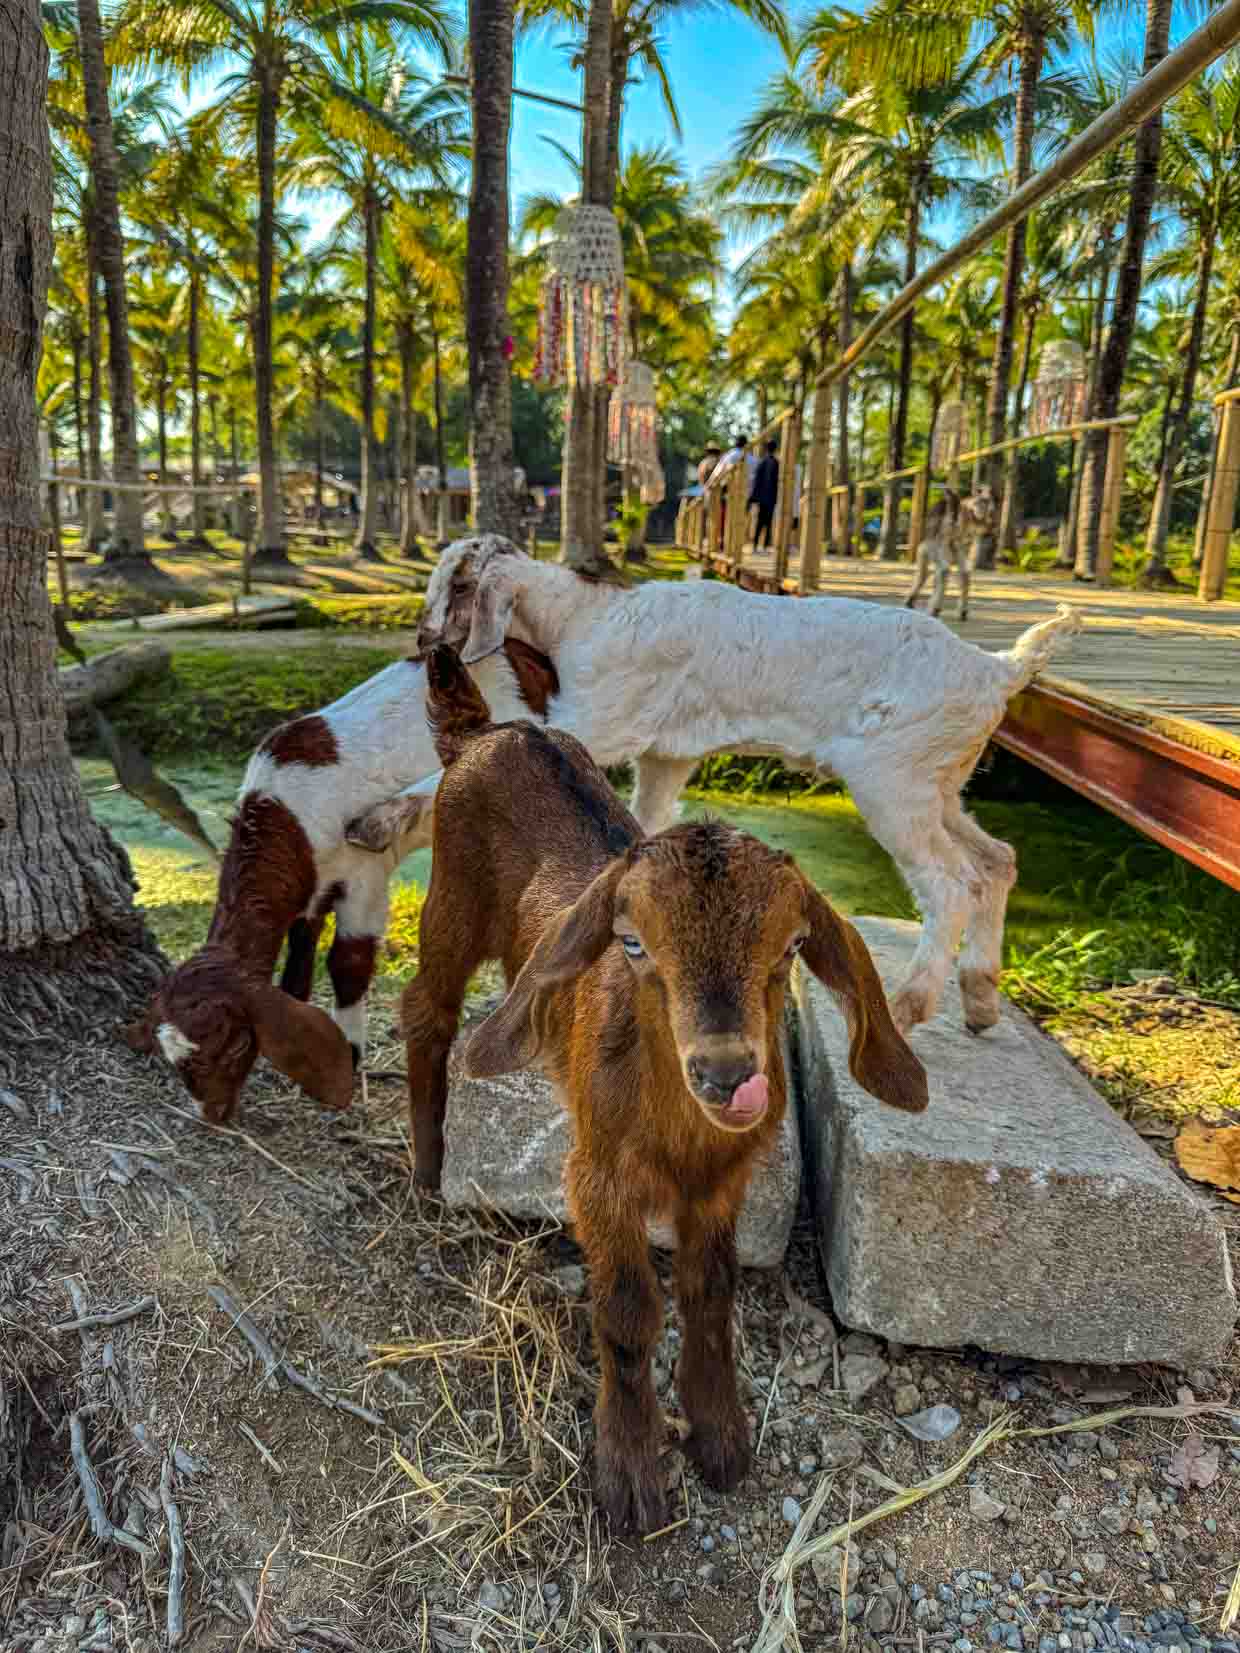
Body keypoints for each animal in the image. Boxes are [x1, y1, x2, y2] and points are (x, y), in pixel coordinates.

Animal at [122, 640, 558, 1123]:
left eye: (233, 1046)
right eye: (175, 1063)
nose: (214, 1114)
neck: (287, 820)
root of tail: (523, 653)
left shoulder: (363, 873)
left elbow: (348, 963)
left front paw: (348, 1054)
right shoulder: (309, 885)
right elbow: (298, 961)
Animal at [392, 533, 1080, 1038]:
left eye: (455, 585)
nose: (421, 642)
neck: (585, 619)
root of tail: (999, 669)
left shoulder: (602, 718)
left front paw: (386, 810)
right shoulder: (667, 755)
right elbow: (646, 820)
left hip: (894, 780)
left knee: (949, 883)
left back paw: (911, 1004)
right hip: (939, 783)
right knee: (996, 861)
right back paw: (980, 999)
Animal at [402, 643, 928, 1533]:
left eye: (792, 946)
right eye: (633, 943)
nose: (725, 1072)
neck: (680, 1136)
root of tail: (488, 727)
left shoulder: (721, 1186)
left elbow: (710, 1296)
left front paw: (720, 1437)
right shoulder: (598, 1178)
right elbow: (627, 1311)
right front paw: (631, 1472)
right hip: (450, 892)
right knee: (426, 1009)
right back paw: (429, 1160)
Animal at [904, 486, 997, 621]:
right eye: (982, 503)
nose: (991, 523)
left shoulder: (926, 548)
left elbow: (924, 574)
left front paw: (911, 600)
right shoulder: (956, 549)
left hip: (939, 547)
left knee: (944, 571)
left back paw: (934, 608)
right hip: (956, 549)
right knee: (964, 573)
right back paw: (962, 611)